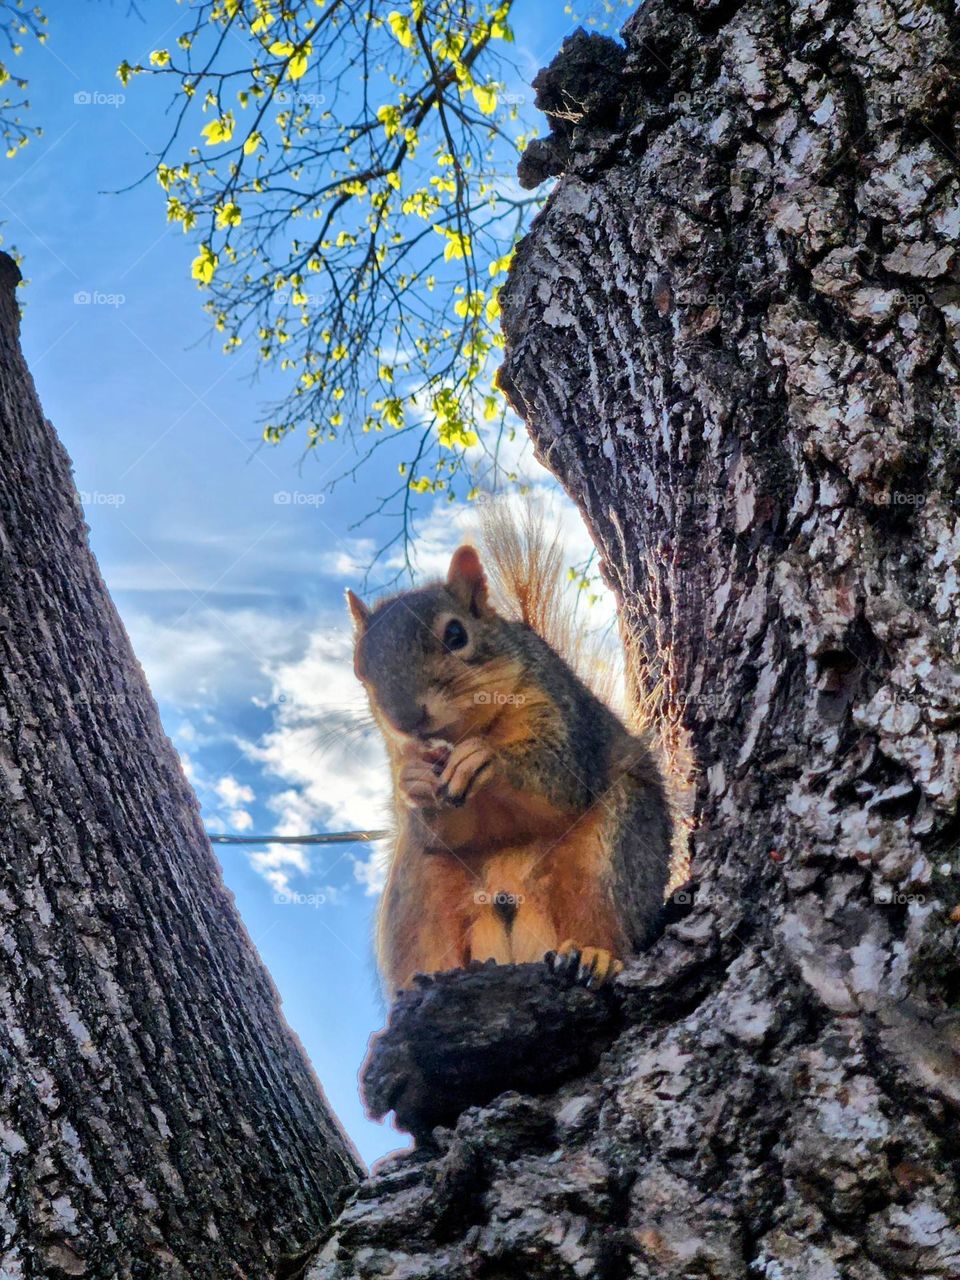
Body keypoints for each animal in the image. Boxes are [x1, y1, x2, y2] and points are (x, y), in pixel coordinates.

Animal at [346, 512, 673, 999]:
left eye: (456, 634)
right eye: (359, 668)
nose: (406, 718)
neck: (472, 727)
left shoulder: (557, 708)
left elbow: (559, 775)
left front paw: (485, 759)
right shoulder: (400, 755)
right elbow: (441, 826)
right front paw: (414, 782)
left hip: (609, 855)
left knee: (604, 916)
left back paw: (595, 955)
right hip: (419, 889)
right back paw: (430, 978)